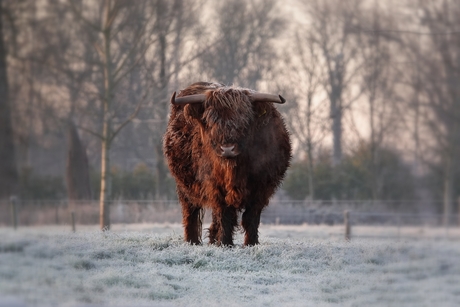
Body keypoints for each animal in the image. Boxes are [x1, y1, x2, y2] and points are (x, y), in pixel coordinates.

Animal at [164, 82, 290, 248]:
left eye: (244, 120)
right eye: (211, 121)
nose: (227, 149)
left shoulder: (262, 188)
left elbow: (251, 217)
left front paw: (251, 243)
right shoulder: (216, 187)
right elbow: (225, 216)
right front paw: (225, 243)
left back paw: (212, 240)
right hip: (184, 186)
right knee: (190, 213)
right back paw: (193, 242)